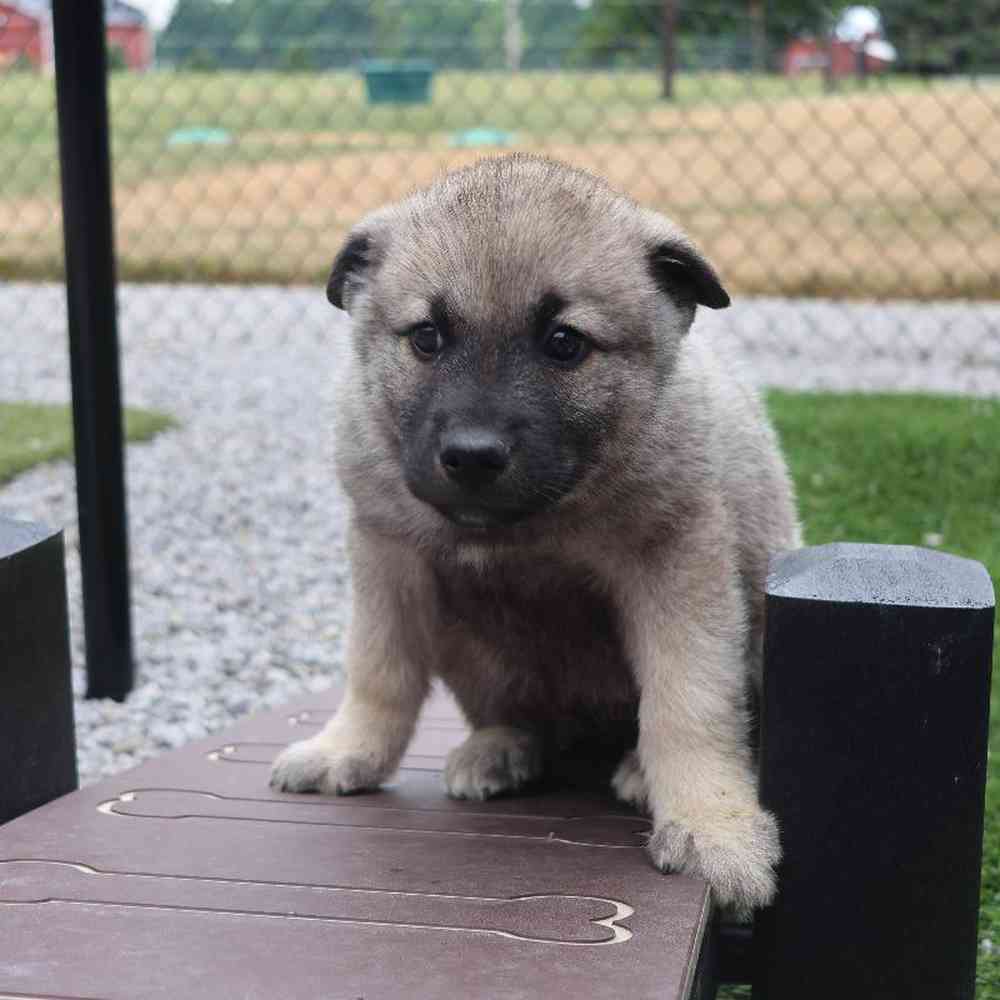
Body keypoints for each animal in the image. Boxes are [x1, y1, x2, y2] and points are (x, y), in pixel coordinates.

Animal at [270, 154, 800, 916]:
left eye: (564, 343)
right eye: (427, 337)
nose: (472, 456)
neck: (535, 524)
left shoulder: (678, 562)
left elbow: (688, 702)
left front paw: (712, 825)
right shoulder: (387, 555)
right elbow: (378, 670)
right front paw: (349, 748)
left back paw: (635, 768)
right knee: (522, 718)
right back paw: (500, 748)